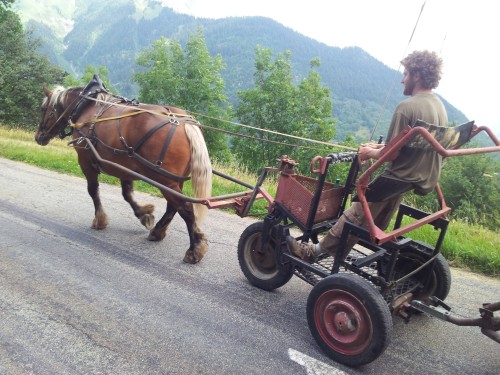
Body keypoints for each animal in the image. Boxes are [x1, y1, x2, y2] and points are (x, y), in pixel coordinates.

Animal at [34, 78, 214, 264]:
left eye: (43, 108)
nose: (38, 136)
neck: (87, 105)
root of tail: (186, 122)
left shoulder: (85, 160)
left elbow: (93, 190)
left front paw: (100, 219)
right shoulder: (123, 165)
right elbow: (127, 194)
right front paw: (144, 214)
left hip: (164, 179)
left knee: (185, 208)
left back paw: (194, 249)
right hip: (174, 179)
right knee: (174, 206)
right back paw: (158, 232)